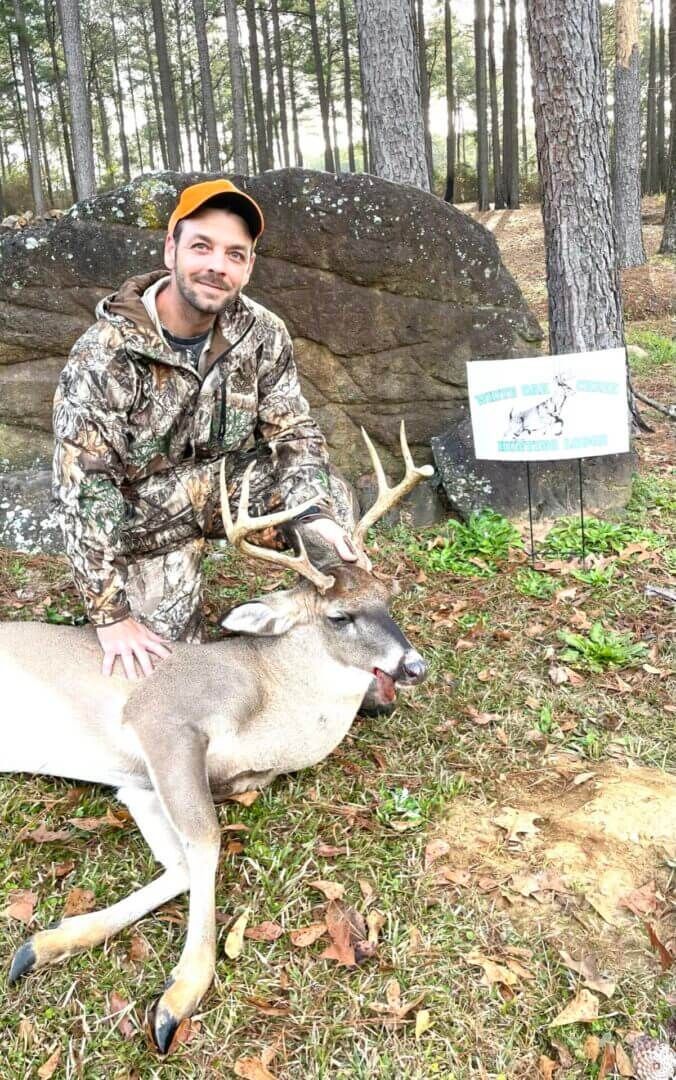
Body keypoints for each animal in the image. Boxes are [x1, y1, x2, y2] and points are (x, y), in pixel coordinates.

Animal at [0, 424, 432, 1053]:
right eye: (340, 617)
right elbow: (206, 840)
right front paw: (179, 996)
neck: (266, 703)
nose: (414, 666)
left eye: (388, 599)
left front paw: (47, 943)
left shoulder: (139, 784)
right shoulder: (161, 718)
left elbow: (181, 863)